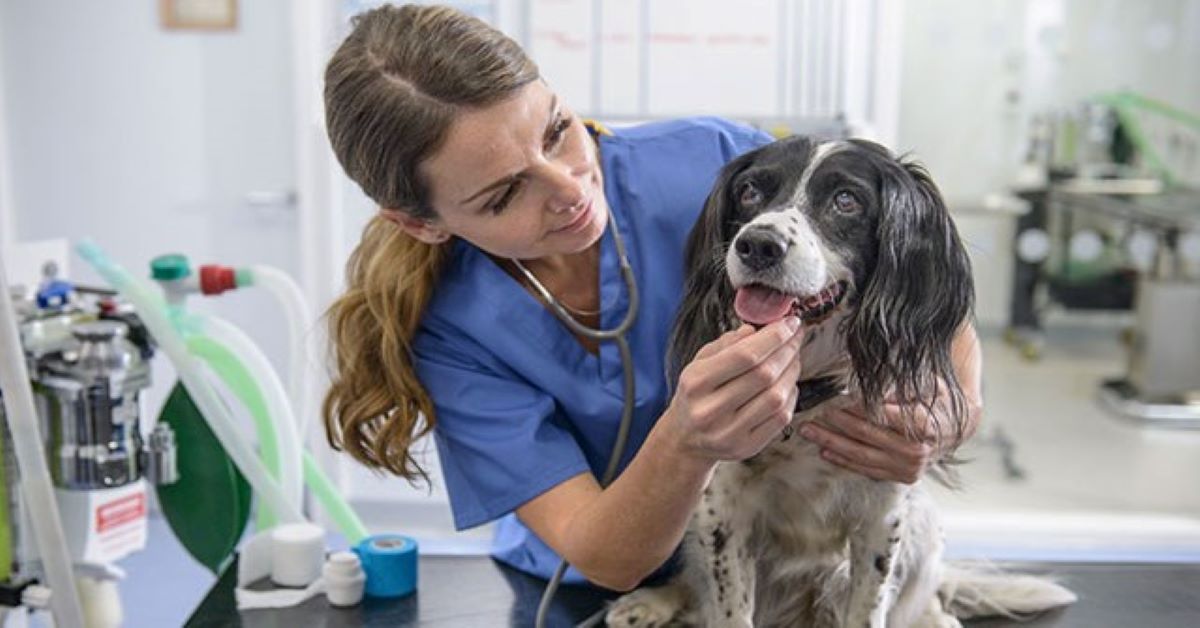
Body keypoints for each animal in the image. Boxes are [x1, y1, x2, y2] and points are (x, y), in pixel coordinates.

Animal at [604, 137, 1075, 628]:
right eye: (750, 191)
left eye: (846, 201)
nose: (758, 244)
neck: (809, 393)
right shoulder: (724, 513)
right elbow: (730, 609)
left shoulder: (881, 519)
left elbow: (869, 608)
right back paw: (651, 602)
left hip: (922, 525)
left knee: (926, 596)